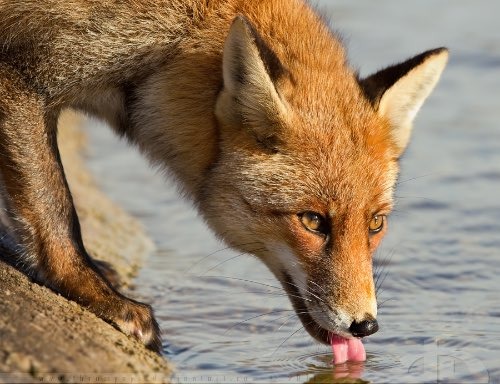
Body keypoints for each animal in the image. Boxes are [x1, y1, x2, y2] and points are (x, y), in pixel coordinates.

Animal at [0, 0, 448, 362]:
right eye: (312, 221)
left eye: (376, 224)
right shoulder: (21, 70)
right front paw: (95, 294)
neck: (171, 38)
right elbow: (55, 207)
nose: (365, 326)